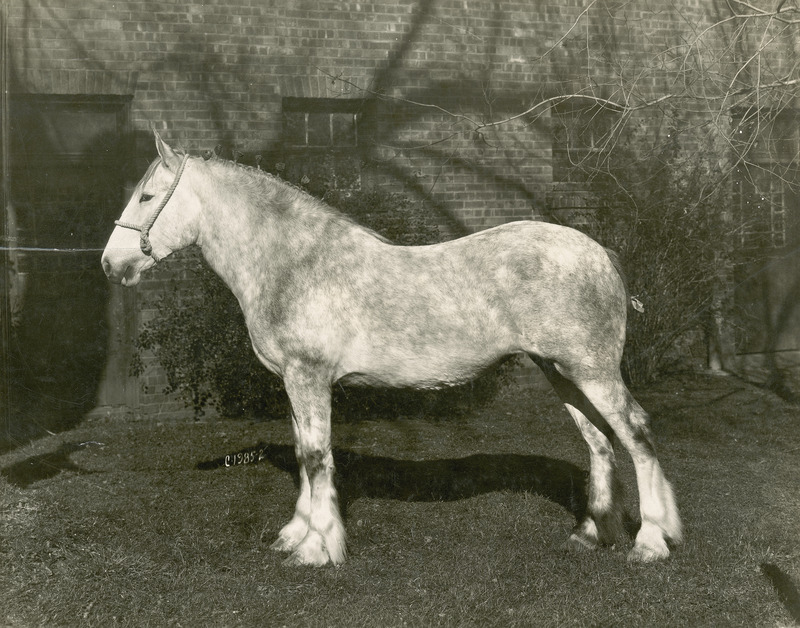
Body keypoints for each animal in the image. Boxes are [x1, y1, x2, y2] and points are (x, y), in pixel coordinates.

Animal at [103, 131, 680, 564]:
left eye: (147, 197)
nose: (111, 263)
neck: (296, 263)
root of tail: (601, 253)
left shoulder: (309, 377)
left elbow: (316, 456)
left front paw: (317, 549)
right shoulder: (293, 381)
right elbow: (305, 452)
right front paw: (295, 535)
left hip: (591, 370)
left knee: (636, 433)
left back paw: (652, 541)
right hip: (560, 370)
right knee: (599, 442)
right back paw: (591, 533)